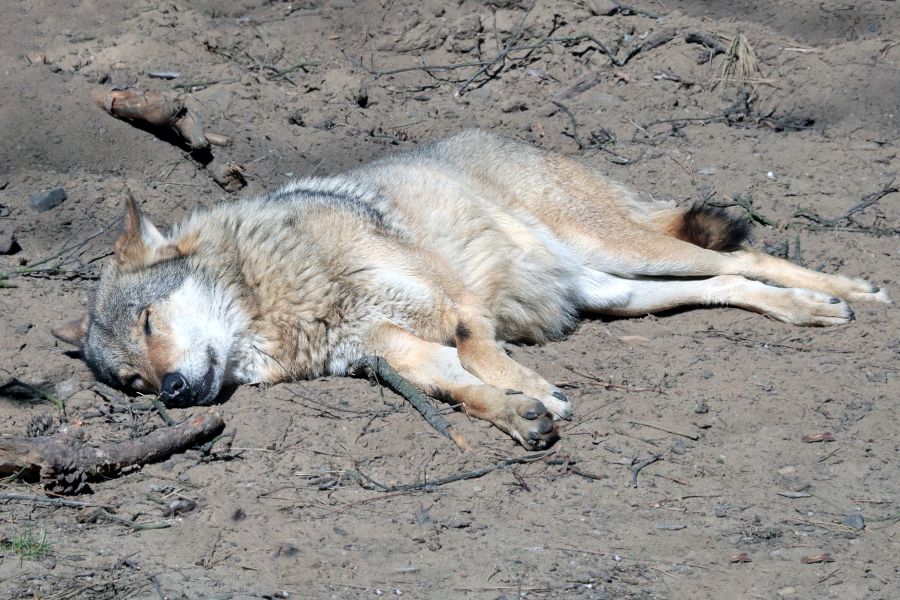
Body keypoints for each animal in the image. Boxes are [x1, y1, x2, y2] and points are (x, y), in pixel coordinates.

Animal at [51, 132, 892, 450]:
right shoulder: (388, 351)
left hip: (624, 249)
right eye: (132, 380)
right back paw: (807, 311)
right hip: (617, 293)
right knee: (730, 280)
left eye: (150, 322)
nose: (171, 394)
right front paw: (520, 414)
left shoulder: (449, 310)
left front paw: (536, 394)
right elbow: (461, 389)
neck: (282, 297)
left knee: (756, 257)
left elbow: (481, 354)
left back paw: (844, 293)